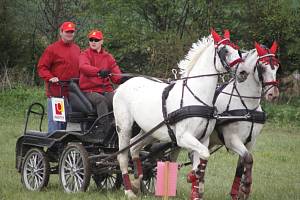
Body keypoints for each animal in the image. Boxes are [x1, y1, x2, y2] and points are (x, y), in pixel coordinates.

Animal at [113, 28, 243, 199]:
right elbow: (204, 156)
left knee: (134, 147)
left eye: (236, 49)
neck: (196, 96)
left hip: (150, 131)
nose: (243, 72)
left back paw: (137, 180)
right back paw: (129, 191)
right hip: (124, 127)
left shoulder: (203, 139)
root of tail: (122, 86)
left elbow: (201, 160)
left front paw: (195, 189)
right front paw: (191, 177)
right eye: (225, 51)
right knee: (122, 155)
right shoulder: (183, 137)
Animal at [207, 41, 280, 199]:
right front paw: (246, 187)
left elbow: (242, 164)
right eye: (262, 67)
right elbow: (249, 159)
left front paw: (237, 192)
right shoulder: (232, 140)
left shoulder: (250, 142)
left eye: (277, 66)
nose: (273, 94)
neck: (247, 106)